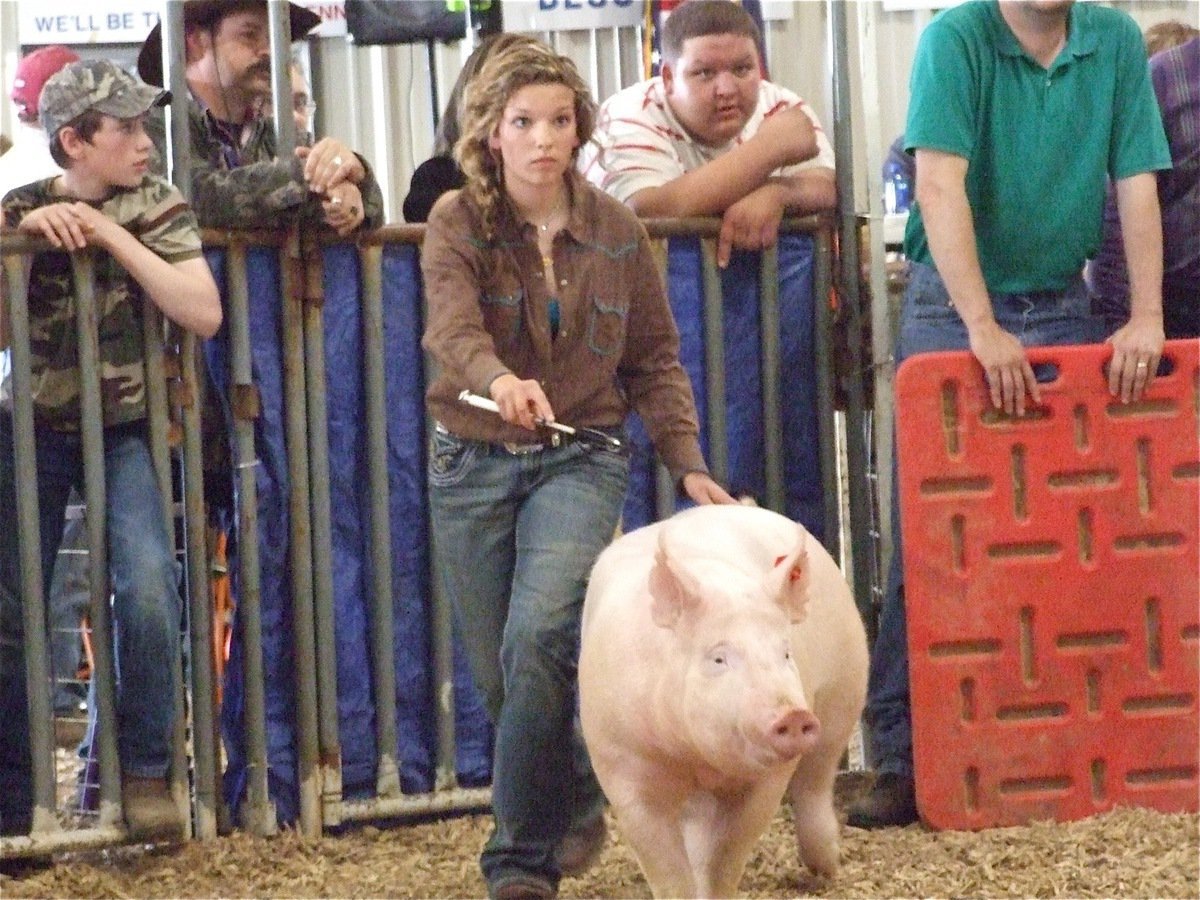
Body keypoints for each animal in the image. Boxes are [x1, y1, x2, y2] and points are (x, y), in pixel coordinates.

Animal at [578, 504, 868, 897]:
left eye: (785, 653)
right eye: (718, 658)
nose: (792, 715)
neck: (696, 758)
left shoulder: (767, 782)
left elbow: (727, 856)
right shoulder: (621, 765)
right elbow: (668, 869)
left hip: (844, 691)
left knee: (816, 780)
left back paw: (826, 868)